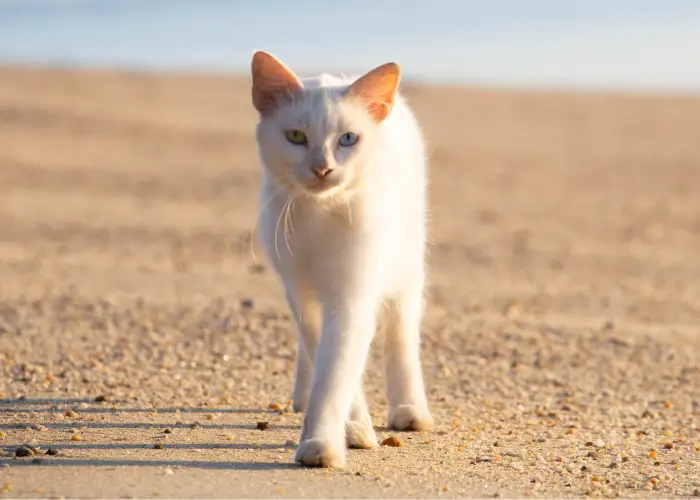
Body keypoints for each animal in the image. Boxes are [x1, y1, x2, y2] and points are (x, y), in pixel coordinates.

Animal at [249, 48, 430, 466]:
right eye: (295, 136)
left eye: (348, 139)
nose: (322, 168)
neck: (320, 216)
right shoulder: (299, 289)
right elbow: (323, 355)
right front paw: (353, 428)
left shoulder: (352, 294)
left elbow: (335, 371)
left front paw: (322, 443)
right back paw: (302, 397)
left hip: (406, 265)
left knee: (401, 337)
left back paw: (409, 410)